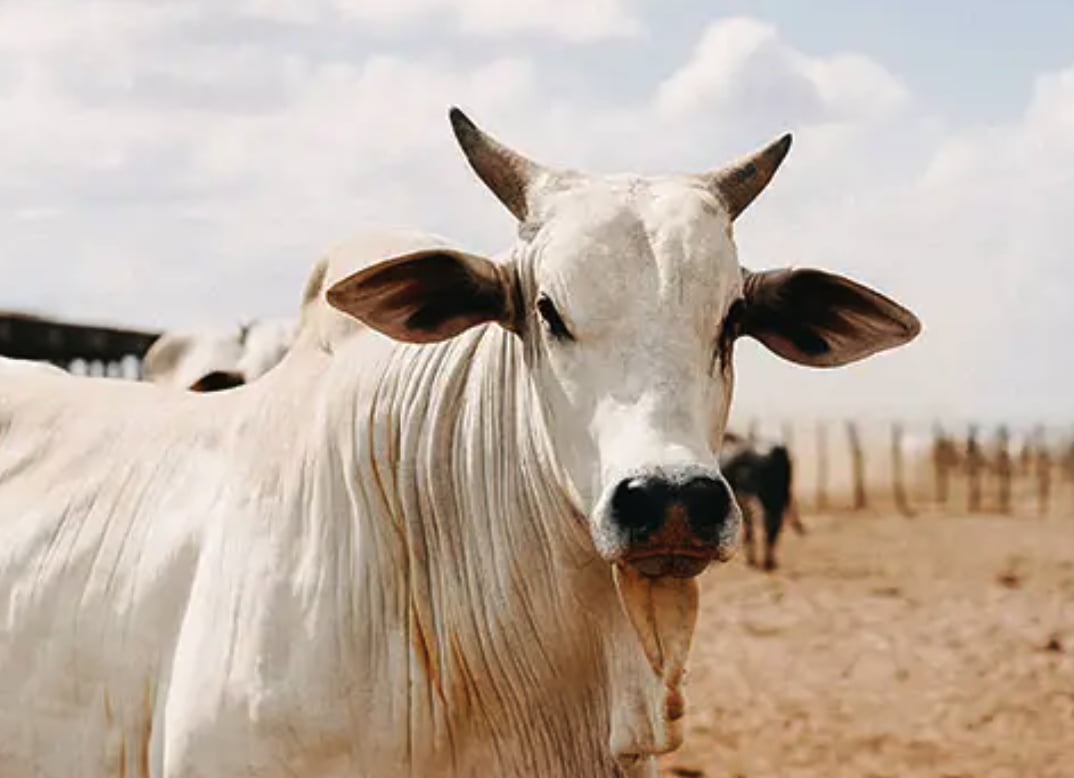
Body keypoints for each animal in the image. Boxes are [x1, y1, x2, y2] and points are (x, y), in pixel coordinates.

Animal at [717, 431, 803, 571]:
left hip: (754, 497)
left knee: (758, 524)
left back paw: (755, 559)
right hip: (777, 496)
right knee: (773, 524)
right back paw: (769, 561)